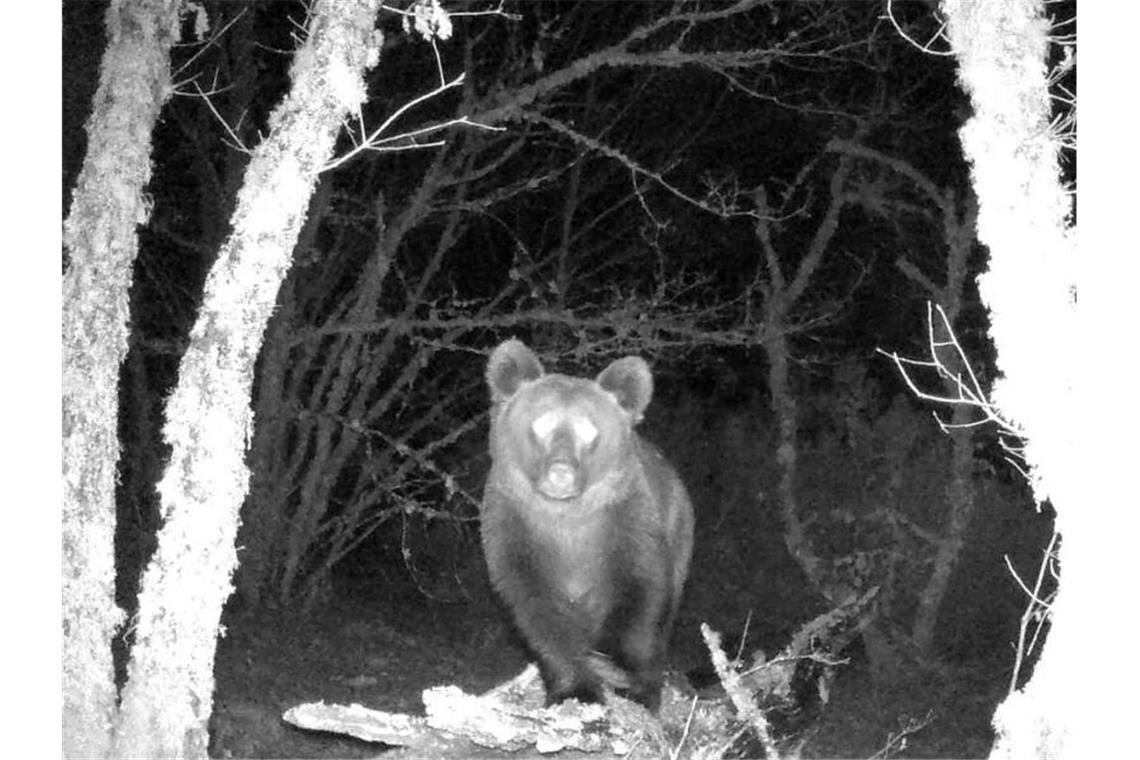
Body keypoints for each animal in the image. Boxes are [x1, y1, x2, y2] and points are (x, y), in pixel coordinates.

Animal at [476, 339, 688, 715]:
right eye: (540, 424)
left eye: (591, 432)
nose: (561, 472)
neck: (566, 517)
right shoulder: (513, 528)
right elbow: (536, 612)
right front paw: (574, 689)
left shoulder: (626, 522)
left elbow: (641, 596)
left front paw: (625, 679)